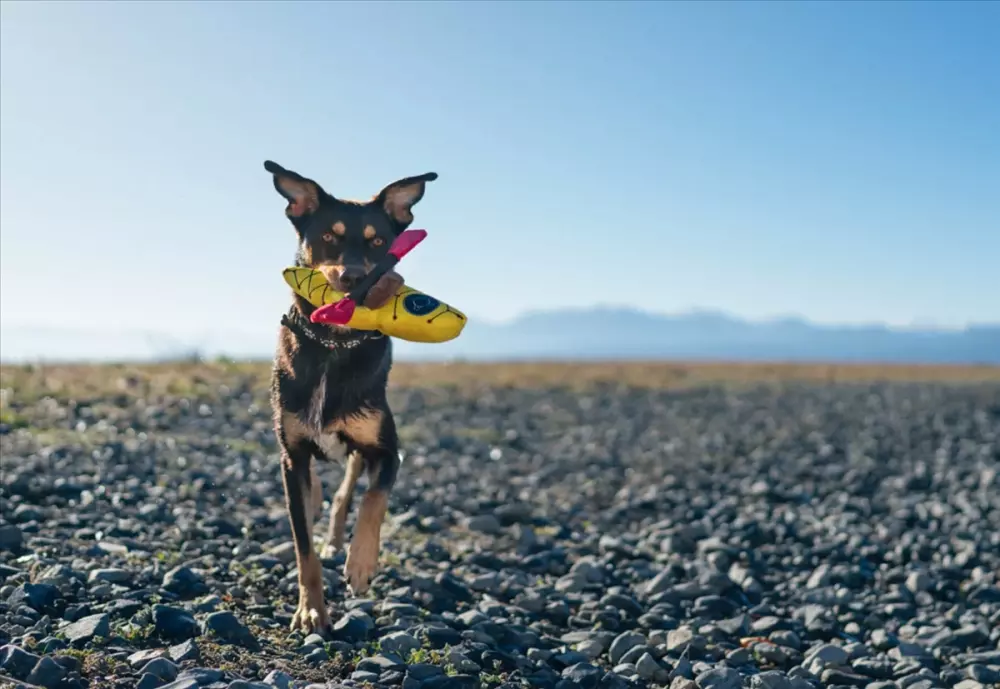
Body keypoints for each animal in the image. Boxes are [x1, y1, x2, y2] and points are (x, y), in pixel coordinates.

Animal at [266, 159, 438, 632]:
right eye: (328, 236)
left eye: (378, 241)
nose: (354, 277)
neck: (333, 343)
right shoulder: (292, 455)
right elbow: (302, 544)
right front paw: (311, 609)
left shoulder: (387, 449)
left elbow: (373, 500)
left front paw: (361, 565)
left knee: (347, 490)